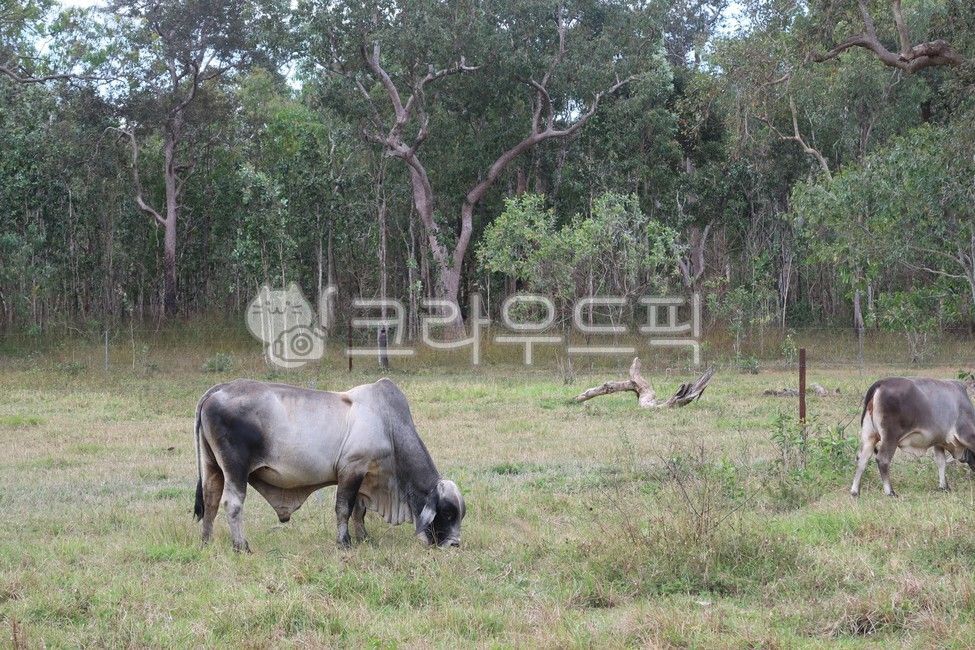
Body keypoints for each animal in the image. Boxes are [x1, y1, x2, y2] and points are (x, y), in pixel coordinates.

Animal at [192, 378, 466, 551]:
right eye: (447, 512)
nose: (454, 544)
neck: (387, 424)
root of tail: (218, 390)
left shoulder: (364, 476)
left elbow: (358, 511)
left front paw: (363, 539)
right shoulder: (351, 469)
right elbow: (344, 508)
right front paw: (344, 543)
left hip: (212, 466)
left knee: (211, 500)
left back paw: (206, 543)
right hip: (235, 468)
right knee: (232, 504)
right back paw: (241, 546)